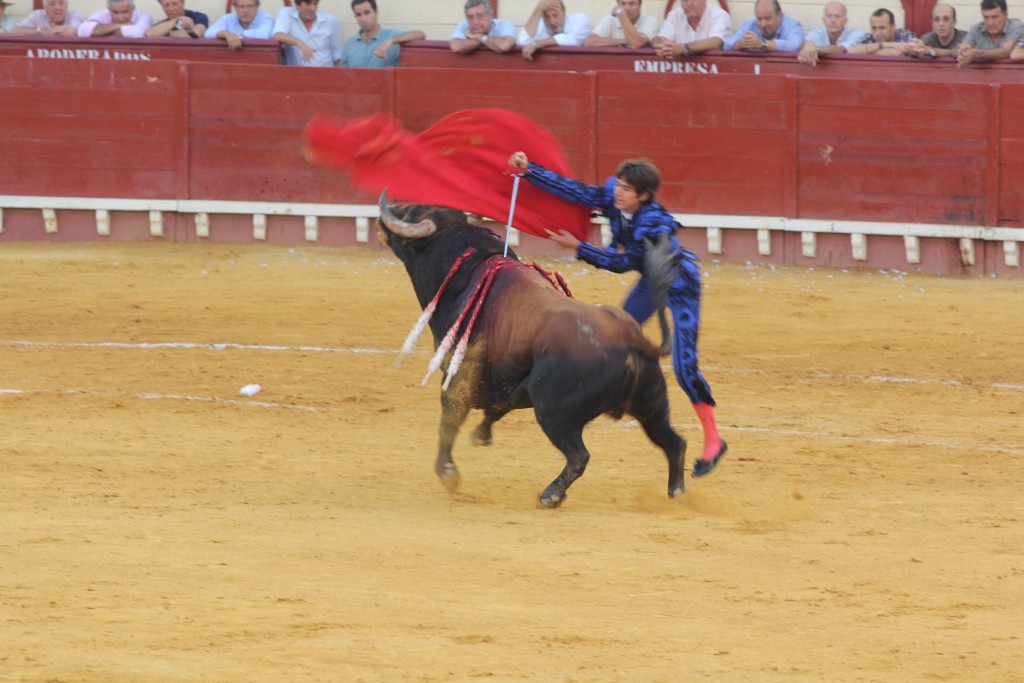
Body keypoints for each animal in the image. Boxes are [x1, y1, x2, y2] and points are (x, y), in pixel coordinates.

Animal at [378, 191, 688, 507]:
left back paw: (551, 495)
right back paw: (675, 493)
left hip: (554, 412)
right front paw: (480, 435)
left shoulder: (459, 375)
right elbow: (497, 407)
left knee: (579, 456)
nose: (388, 212)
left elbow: (450, 419)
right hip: (652, 408)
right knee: (674, 443)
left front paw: (448, 473)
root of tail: (629, 335)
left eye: (412, 213)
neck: (469, 270)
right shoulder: (508, 380)